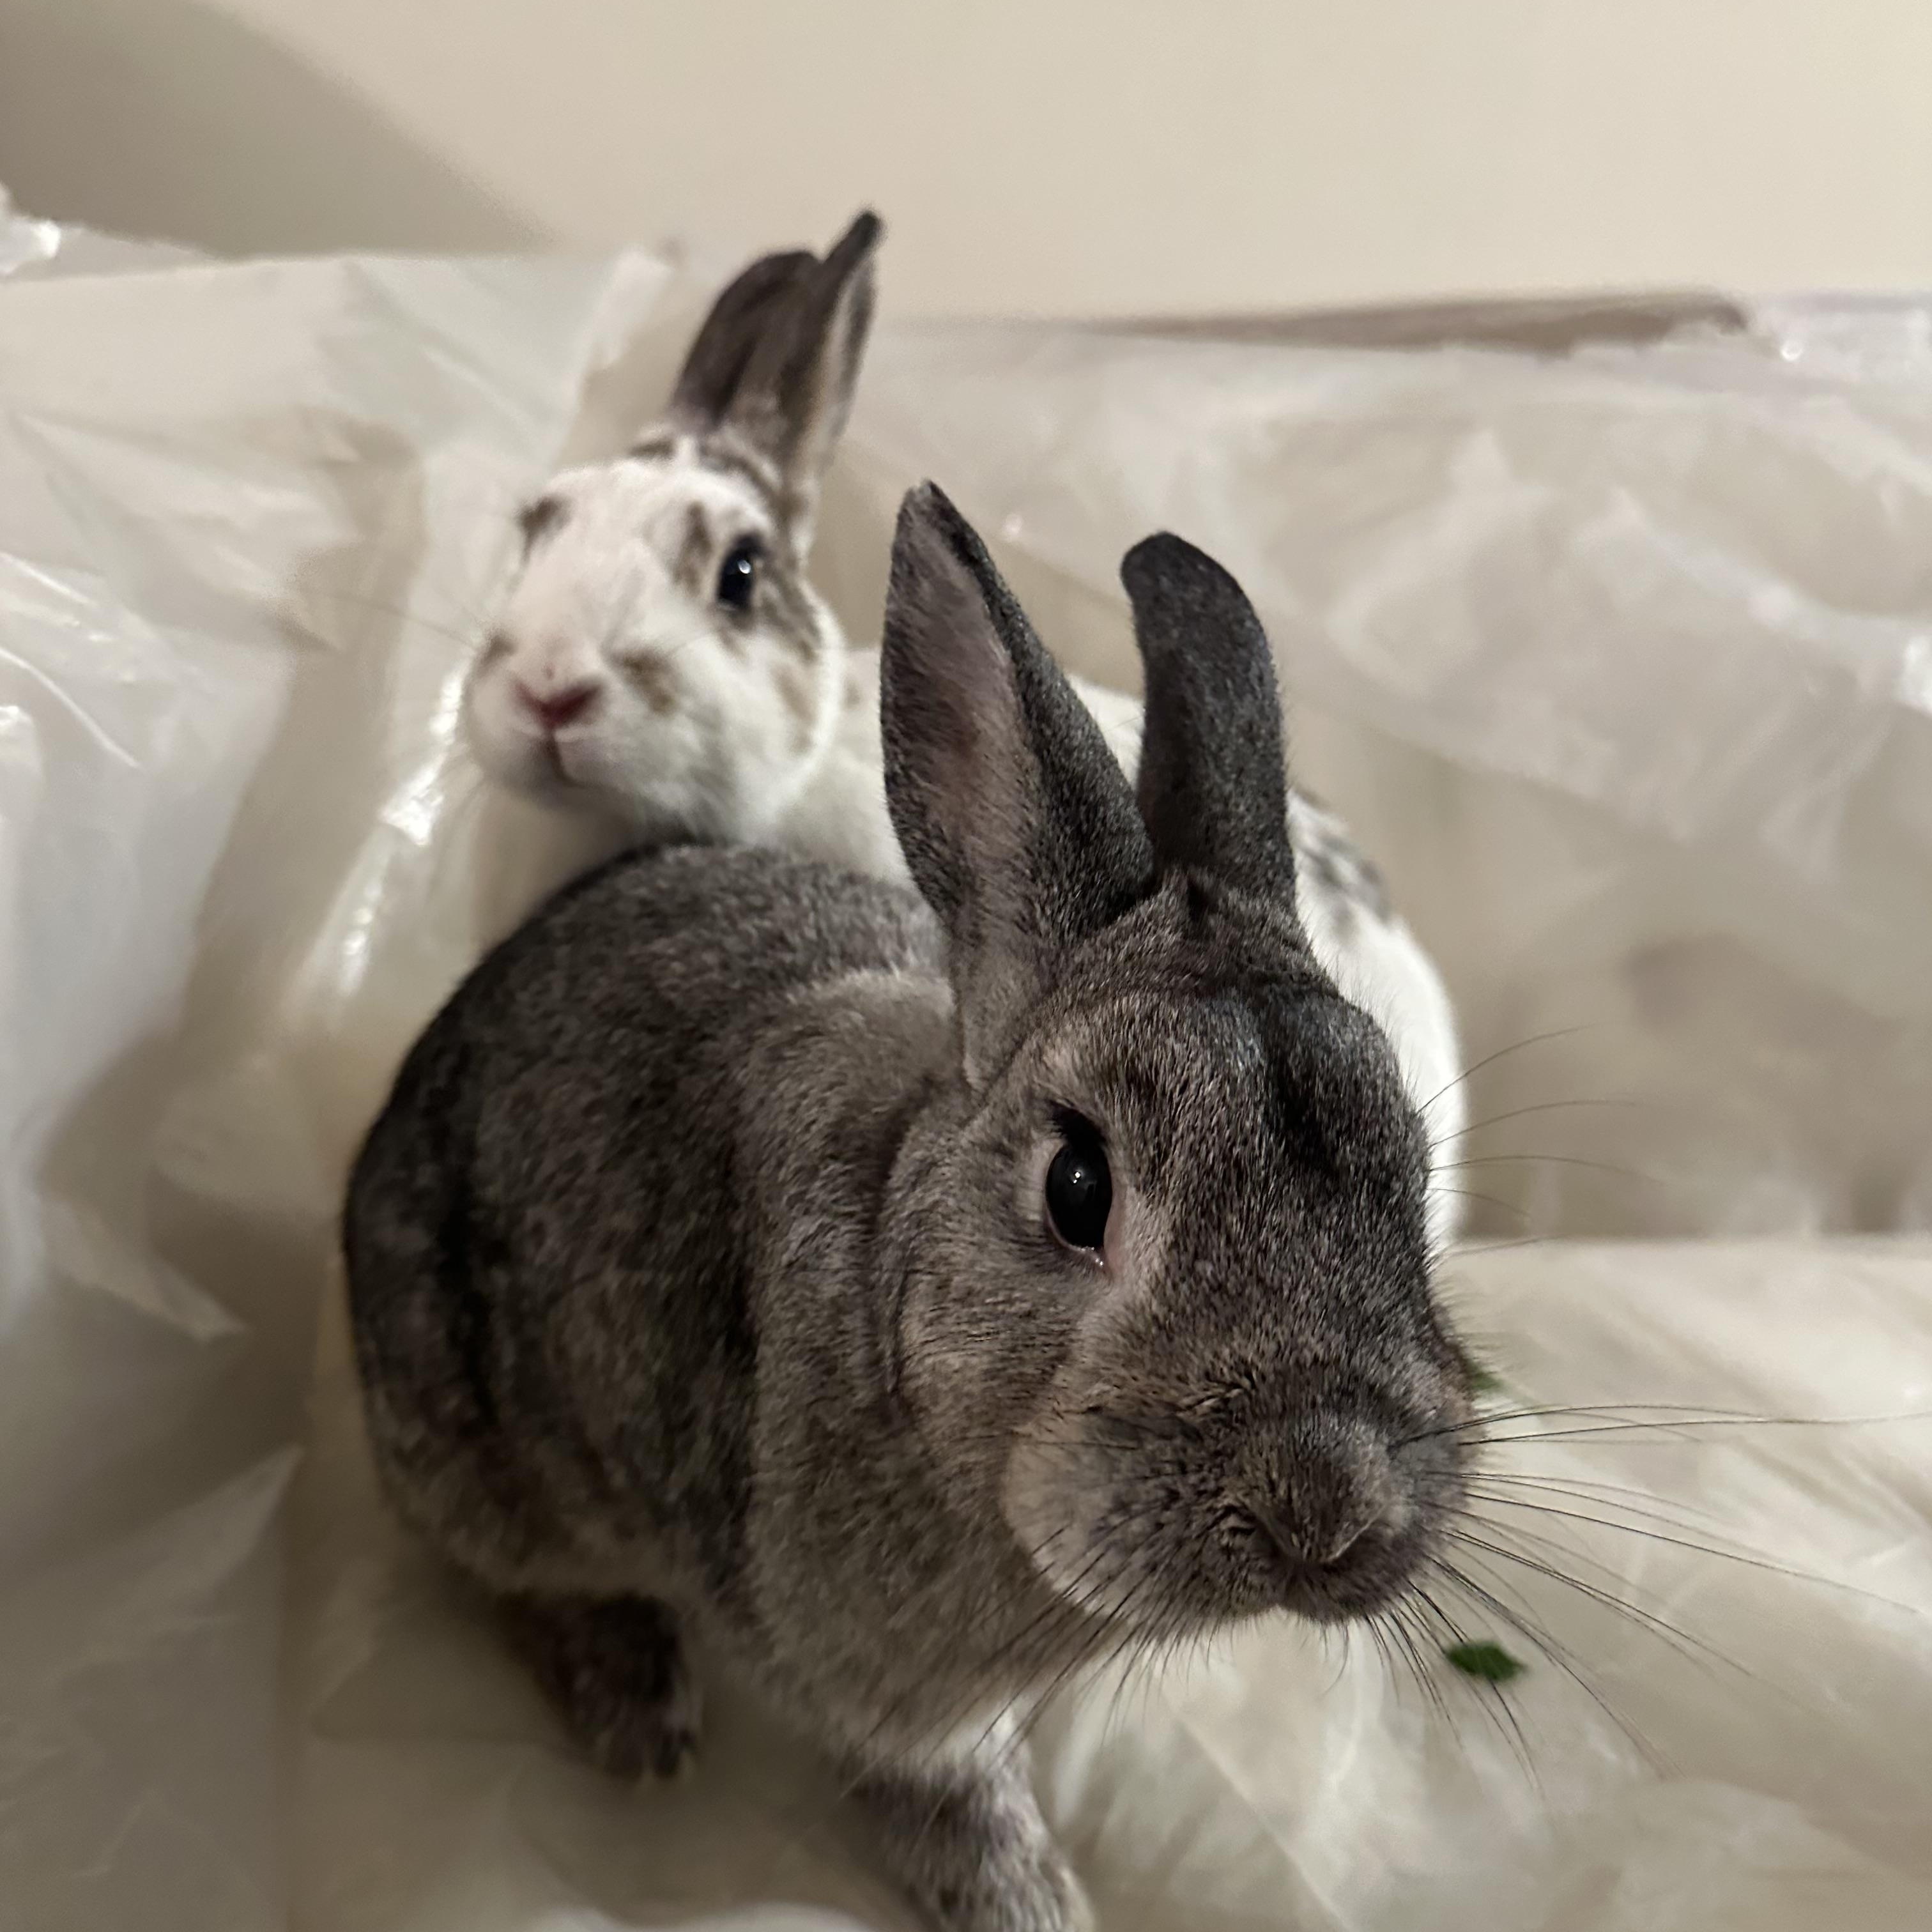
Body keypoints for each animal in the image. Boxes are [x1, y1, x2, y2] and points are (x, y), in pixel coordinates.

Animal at [347, 482, 1480, 1932]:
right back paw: (638, 1709)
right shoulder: (894, 1698)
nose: (1328, 1508)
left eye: (1409, 1163)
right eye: (1076, 1188)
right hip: (466, 1433)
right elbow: (943, 1791)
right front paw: (1029, 1903)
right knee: (518, 1573)